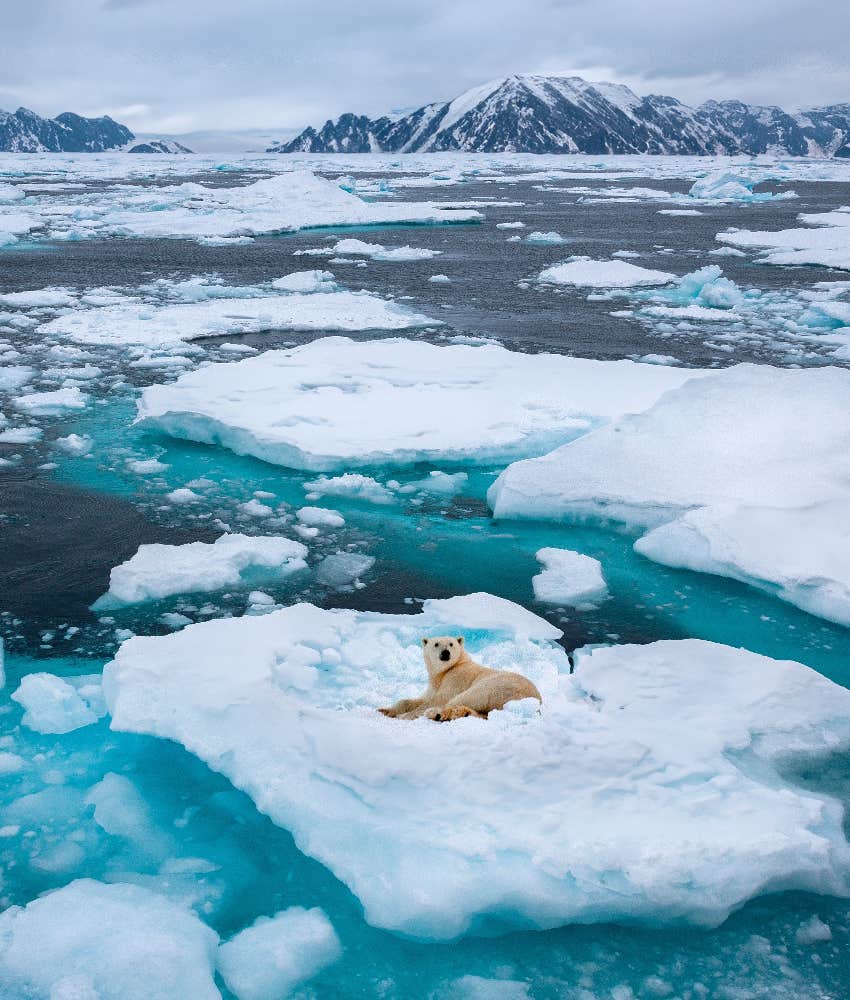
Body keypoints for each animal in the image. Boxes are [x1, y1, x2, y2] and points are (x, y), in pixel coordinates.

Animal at [378, 636, 542, 721]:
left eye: (451, 644)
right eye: (436, 644)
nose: (445, 653)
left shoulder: (457, 677)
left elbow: (440, 699)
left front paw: (404, 715)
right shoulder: (434, 684)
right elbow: (419, 699)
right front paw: (385, 710)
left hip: (495, 686)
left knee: (464, 698)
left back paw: (436, 713)